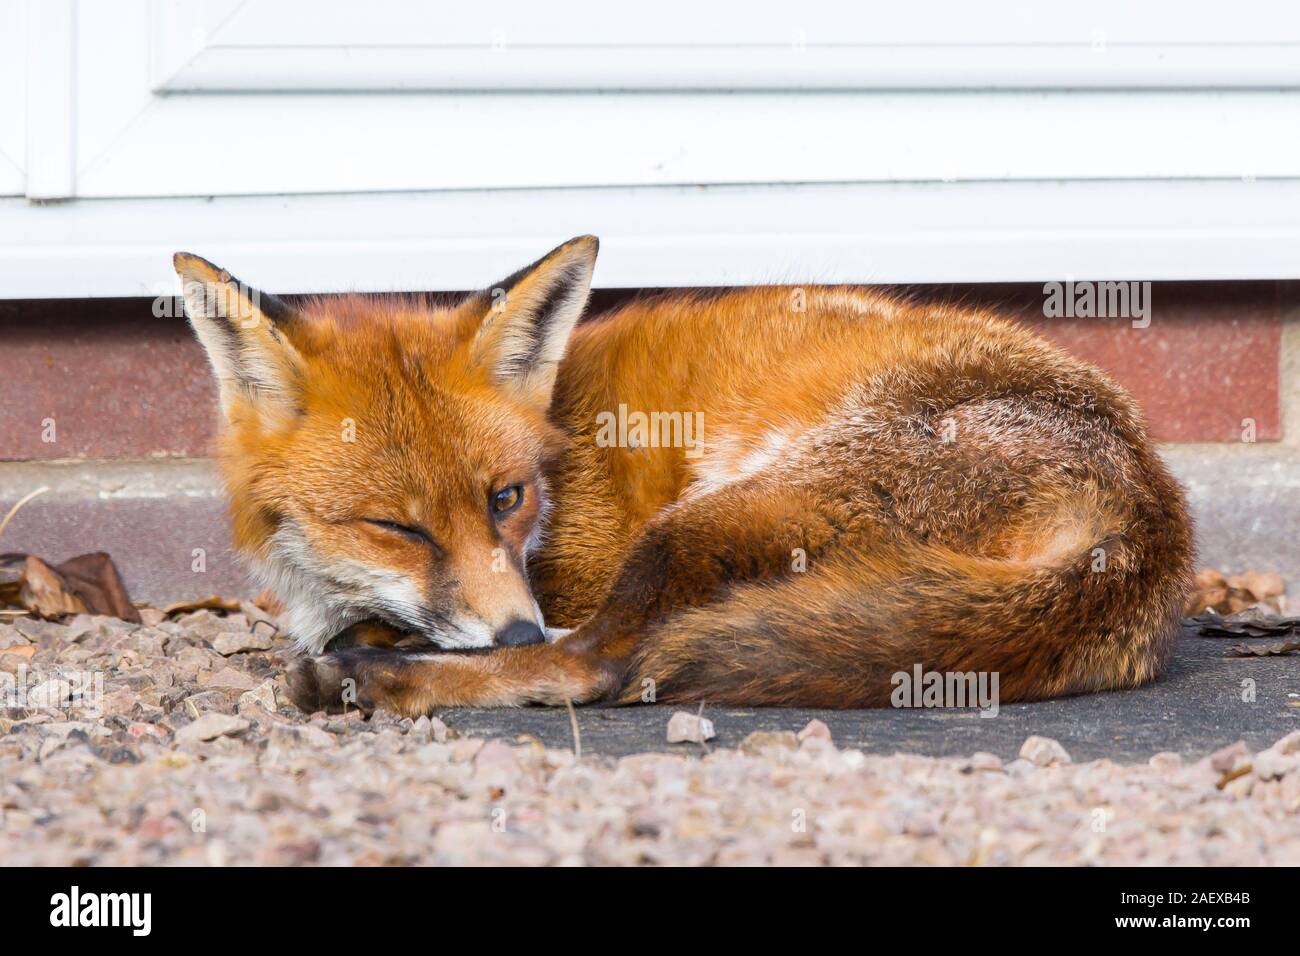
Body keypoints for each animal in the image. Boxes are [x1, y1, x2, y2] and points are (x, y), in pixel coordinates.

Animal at [173, 236, 1193, 717]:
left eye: (506, 498)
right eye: (399, 527)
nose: (514, 626)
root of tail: (1152, 513)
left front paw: (381, 653)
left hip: (708, 517)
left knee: (599, 663)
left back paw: (376, 680)